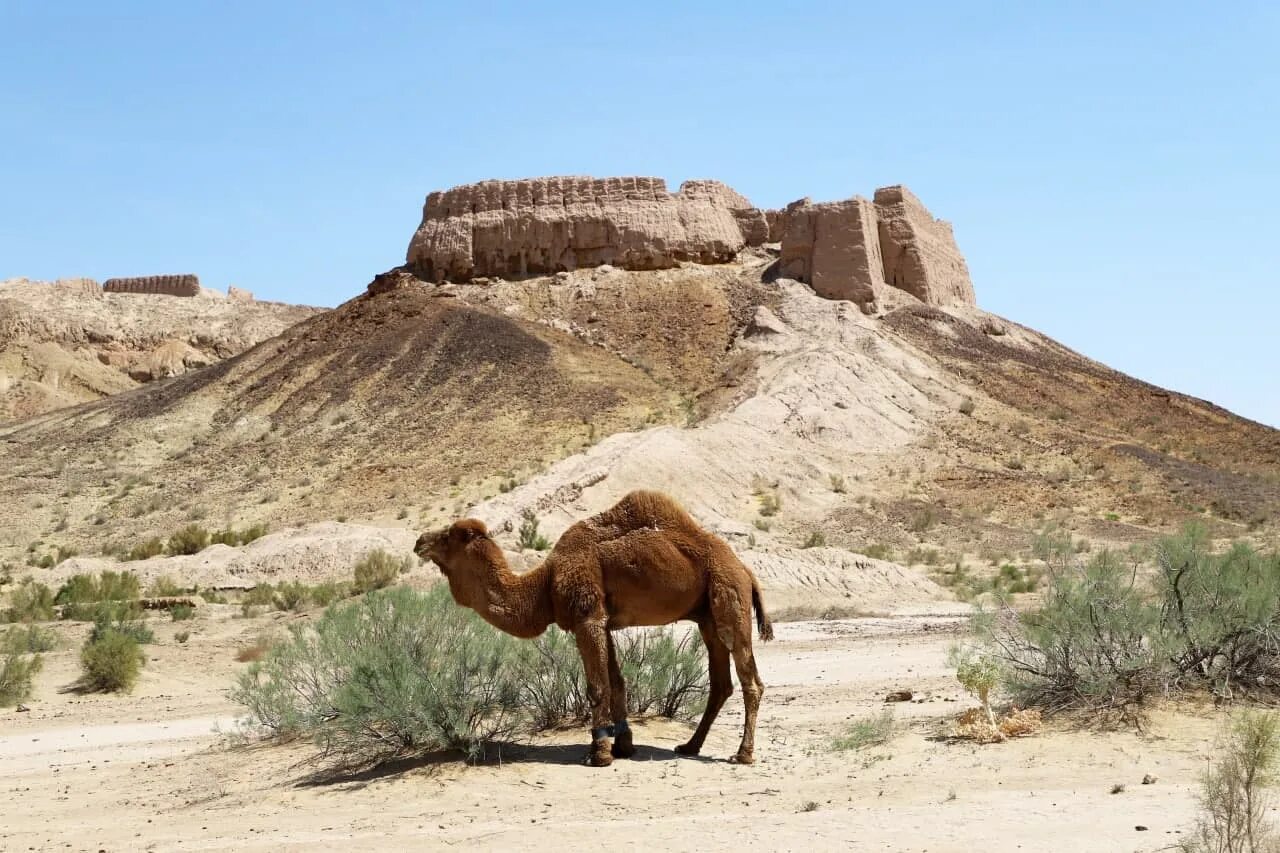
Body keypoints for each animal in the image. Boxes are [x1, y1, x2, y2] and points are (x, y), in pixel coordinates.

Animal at [414, 489, 768, 768]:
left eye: (447, 536)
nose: (419, 541)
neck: (545, 584)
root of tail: (746, 571)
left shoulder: (586, 618)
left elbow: (597, 686)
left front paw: (599, 753)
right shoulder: (603, 621)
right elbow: (617, 682)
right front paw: (624, 746)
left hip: (728, 597)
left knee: (750, 680)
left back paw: (743, 754)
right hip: (708, 617)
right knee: (721, 683)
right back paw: (690, 746)